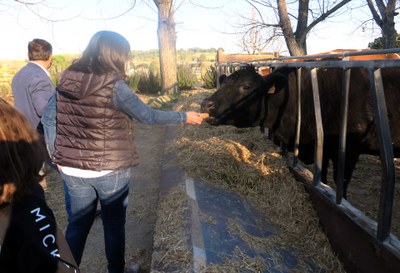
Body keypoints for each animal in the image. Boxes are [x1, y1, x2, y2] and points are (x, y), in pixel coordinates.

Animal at [203, 65, 400, 197]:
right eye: (224, 82)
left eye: (246, 86)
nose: (206, 103)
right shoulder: (324, 148)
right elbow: (323, 179)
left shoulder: (348, 150)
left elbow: (340, 182)